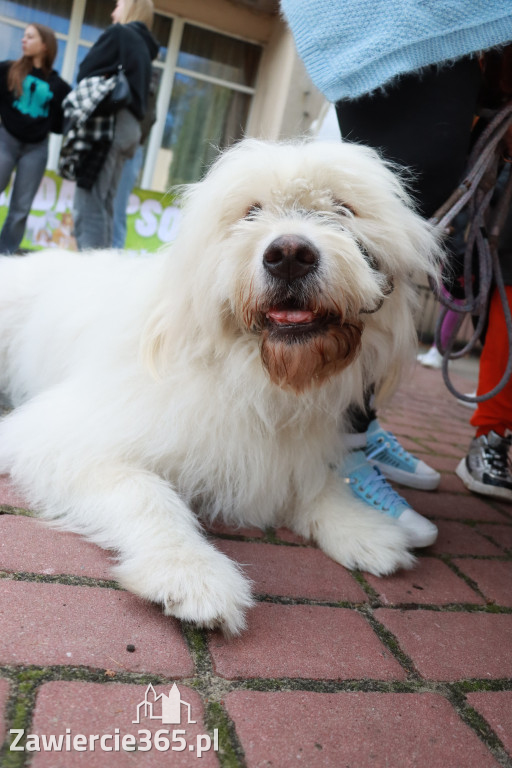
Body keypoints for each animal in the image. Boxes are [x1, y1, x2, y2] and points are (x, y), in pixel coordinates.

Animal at [0, 138, 440, 636]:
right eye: (251, 212)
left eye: (343, 209)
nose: (290, 254)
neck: (249, 373)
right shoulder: (66, 436)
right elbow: (148, 495)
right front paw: (190, 571)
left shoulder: (286, 453)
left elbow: (319, 483)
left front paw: (363, 528)